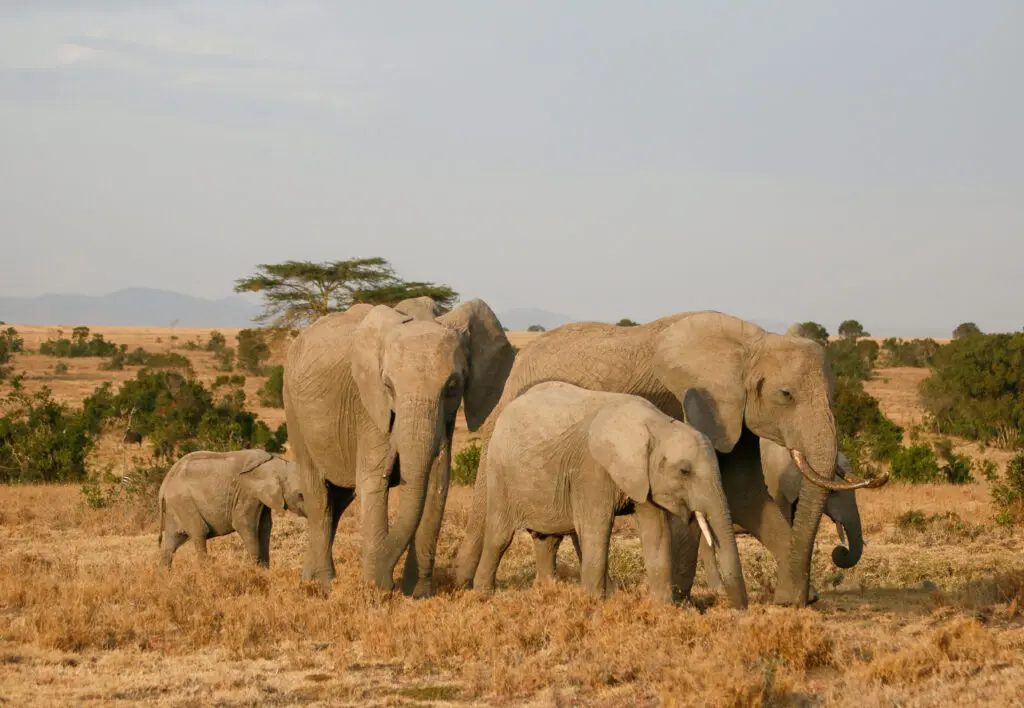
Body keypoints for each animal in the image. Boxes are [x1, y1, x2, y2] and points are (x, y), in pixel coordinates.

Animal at [157, 449, 306, 568]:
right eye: (300, 495)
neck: (276, 463)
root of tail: (164, 485)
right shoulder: (247, 494)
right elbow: (244, 524)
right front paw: (255, 570)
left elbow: (265, 527)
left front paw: (264, 571)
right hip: (184, 503)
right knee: (200, 533)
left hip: (174, 508)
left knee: (171, 544)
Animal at [284, 297, 515, 596]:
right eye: (388, 385)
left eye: (453, 386)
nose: (387, 582)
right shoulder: (369, 408)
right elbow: (373, 481)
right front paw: (376, 590)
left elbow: (436, 485)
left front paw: (418, 595)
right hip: (292, 407)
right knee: (319, 499)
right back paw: (325, 584)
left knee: (338, 501)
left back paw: (309, 579)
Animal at [473, 382, 748, 607]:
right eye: (684, 471)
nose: (739, 609)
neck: (656, 425)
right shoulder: (592, 469)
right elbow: (597, 529)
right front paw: (593, 605)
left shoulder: (643, 478)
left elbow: (656, 532)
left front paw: (664, 610)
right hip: (499, 472)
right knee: (500, 536)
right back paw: (484, 595)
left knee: (548, 540)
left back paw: (545, 593)